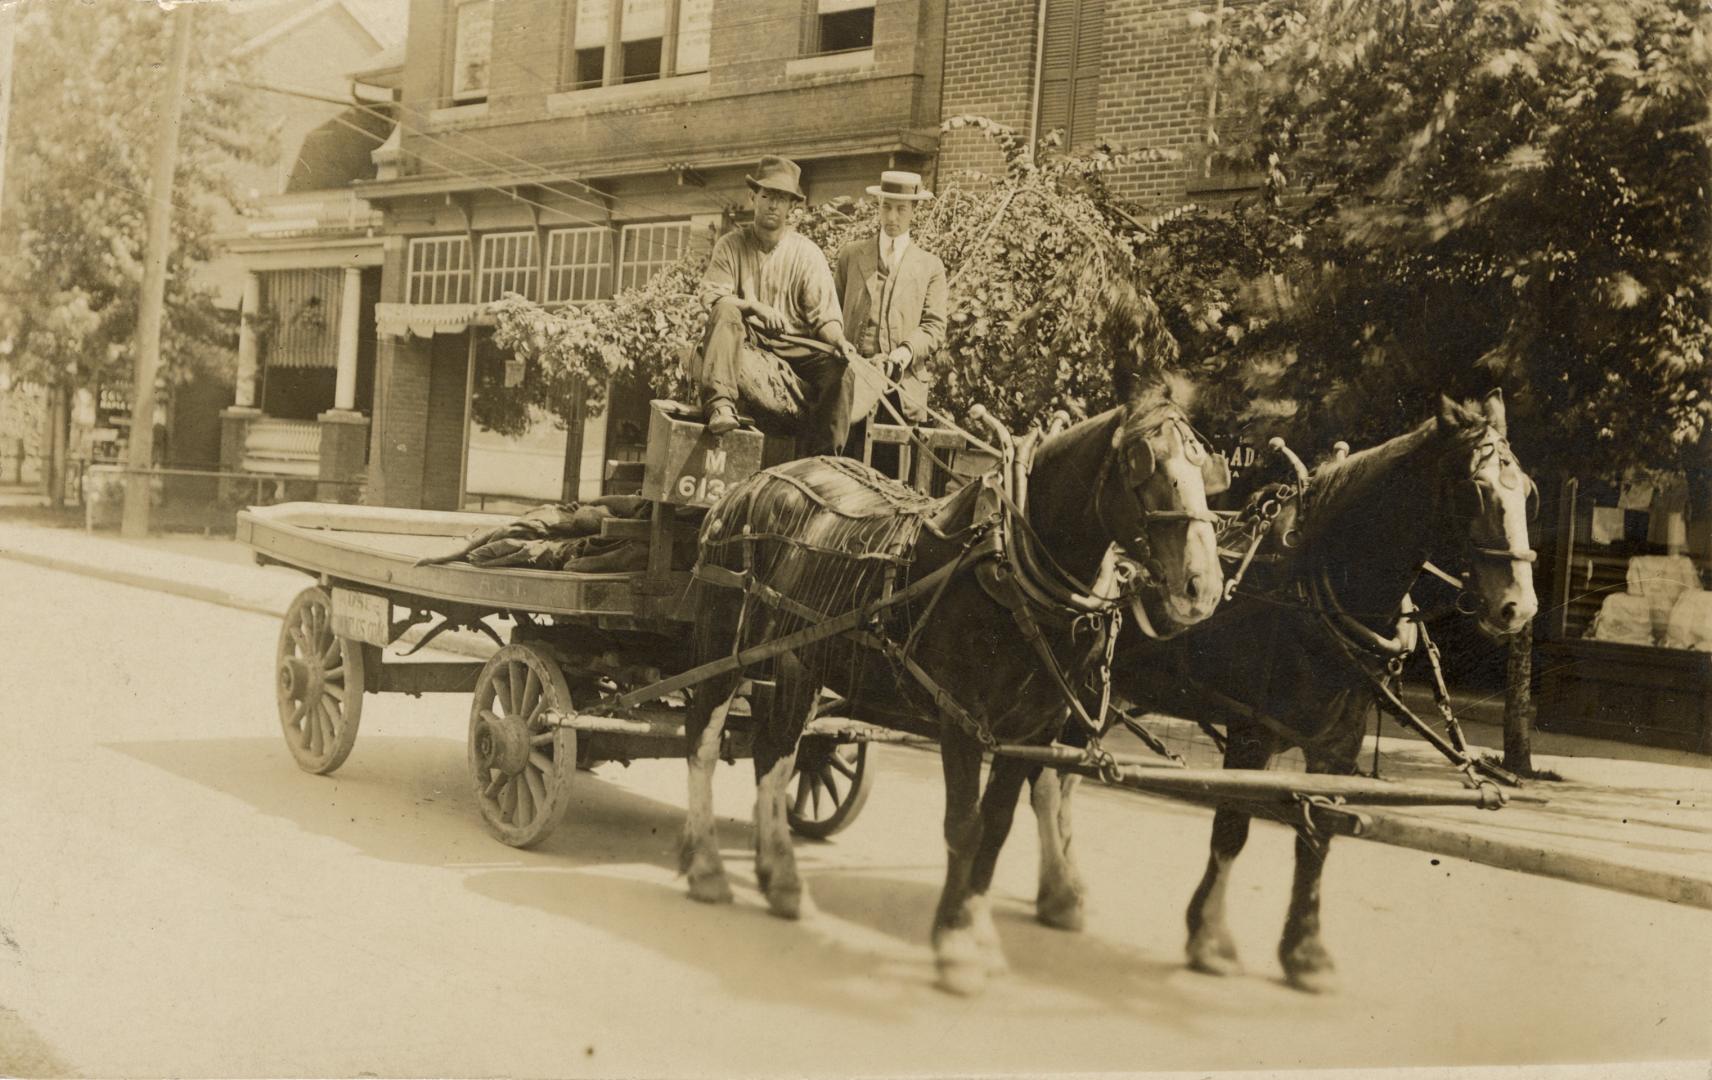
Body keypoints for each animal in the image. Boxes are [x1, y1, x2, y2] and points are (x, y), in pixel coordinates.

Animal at [674, 371, 1225, 999]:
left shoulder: (1029, 733)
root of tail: (747, 485)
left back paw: (782, 881)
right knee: (703, 741)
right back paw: (707, 867)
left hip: (798, 659)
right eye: (1141, 462)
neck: (1010, 568)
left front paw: (979, 933)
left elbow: (997, 830)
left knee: (776, 753)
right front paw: (958, 945)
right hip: (724, 639)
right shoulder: (962, 716)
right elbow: (965, 827)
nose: (1202, 587)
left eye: (1206, 467)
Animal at [1013, 393, 1540, 992]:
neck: (1313, 590)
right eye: (1476, 489)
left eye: (1526, 492)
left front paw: (1306, 951)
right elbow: (1232, 829)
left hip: (1102, 694)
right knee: (1046, 780)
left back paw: (1065, 883)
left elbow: (1318, 842)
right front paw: (1210, 937)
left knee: (1067, 778)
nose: (1518, 606)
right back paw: (1059, 890)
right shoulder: (1252, 733)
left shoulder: (1338, 748)